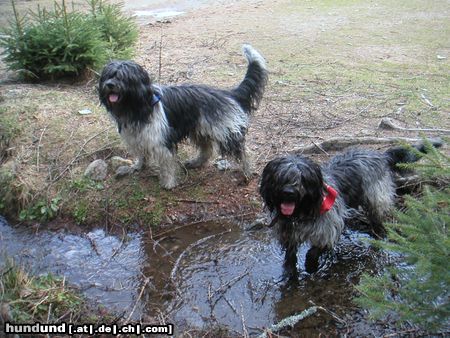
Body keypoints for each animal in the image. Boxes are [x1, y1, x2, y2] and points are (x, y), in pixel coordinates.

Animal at [98, 44, 268, 190]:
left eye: (123, 77)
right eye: (108, 75)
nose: (109, 84)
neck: (136, 107)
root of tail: (228, 93)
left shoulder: (161, 140)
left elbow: (167, 164)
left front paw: (168, 183)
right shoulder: (137, 136)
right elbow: (141, 153)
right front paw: (139, 166)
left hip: (226, 132)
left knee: (244, 152)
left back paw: (247, 172)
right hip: (200, 129)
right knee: (207, 149)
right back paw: (196, 162)